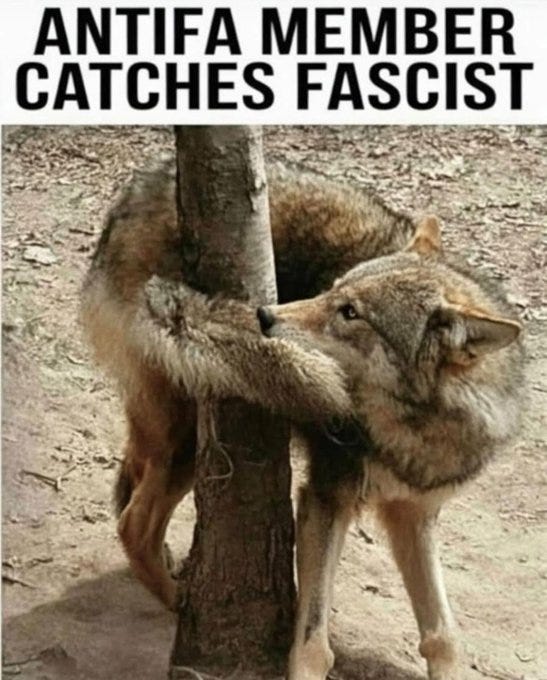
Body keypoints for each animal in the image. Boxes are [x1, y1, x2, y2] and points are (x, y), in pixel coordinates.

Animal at [81, 161, 523, 680]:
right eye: (332, 289)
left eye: (350, 313)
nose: (264, 315)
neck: (415, 431)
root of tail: (133, 192)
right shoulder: (325, 498)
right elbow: (314, 643)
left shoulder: (414, 513)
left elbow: (444, 637)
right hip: (193, 440)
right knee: (133, 525)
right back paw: (182, 607)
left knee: (132, 478)